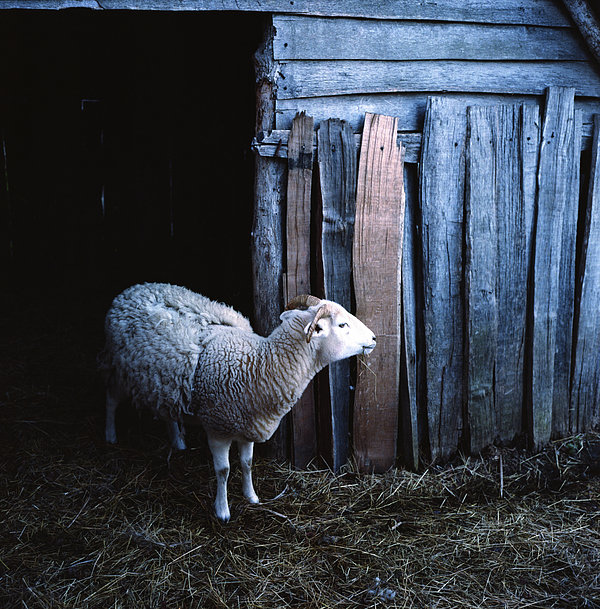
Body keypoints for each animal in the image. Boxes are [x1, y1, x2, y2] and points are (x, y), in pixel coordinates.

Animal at [101, 282, 378, 520]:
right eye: (342, 325)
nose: (374, 338)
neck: (259, 364)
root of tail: (132, 289)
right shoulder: (217, 427)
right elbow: (223, 471)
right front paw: (222, 510)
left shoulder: (249, 425)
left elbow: (247, 464)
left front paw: (251, 496)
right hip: (118, 367)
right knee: (112, 399)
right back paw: (110, 436)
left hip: (164, 382)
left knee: (166, 410)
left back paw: (178, 442)